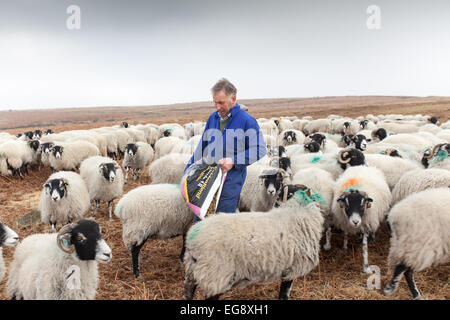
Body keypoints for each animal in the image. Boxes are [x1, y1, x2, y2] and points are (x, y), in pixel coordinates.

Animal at [183, 184, 324, 302]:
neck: (297, 210)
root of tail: (193, 237)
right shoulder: (292, 268)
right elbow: (284, 294)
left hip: (191, 273)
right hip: (216, 275)